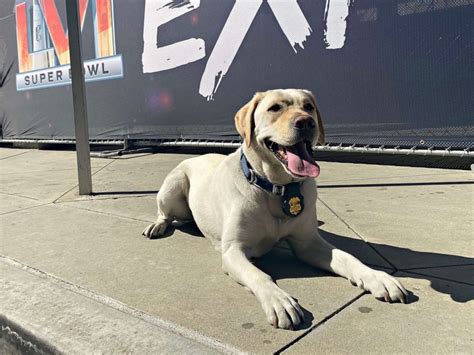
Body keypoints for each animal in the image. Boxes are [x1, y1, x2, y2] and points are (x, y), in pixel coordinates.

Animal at [143, 89, 406, 330]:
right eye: (274, 108)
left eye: (308, 106)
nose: (306, 122)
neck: (278, 188)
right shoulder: (233, 251)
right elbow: (259, 274)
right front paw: (280, 301)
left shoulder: (308, 243)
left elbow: (348, 258)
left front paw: (378, 278)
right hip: (173, 187)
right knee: (165, 213)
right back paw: (157, 225)